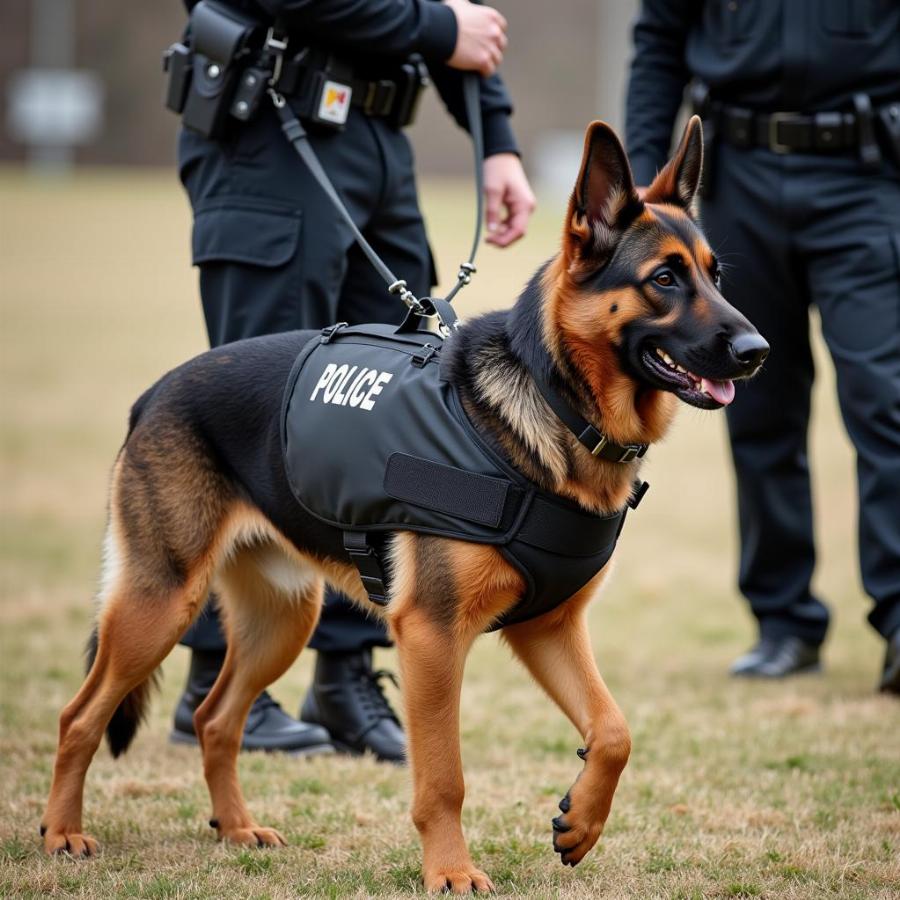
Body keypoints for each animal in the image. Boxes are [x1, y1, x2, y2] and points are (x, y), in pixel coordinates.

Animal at [42, 119, 768, 892]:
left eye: (715, 275)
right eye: (664, 279)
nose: (759, 350)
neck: (554, 403)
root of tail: (156, 393)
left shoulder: (549, 627)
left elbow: (614, 730)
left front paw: (581, 822)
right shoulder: (431, 636)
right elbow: (444, 777)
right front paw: (450, 872)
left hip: (282, 620)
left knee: (216, 720)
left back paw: (236, 828)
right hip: (161, 606)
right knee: (80, 716)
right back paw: (62, 833)